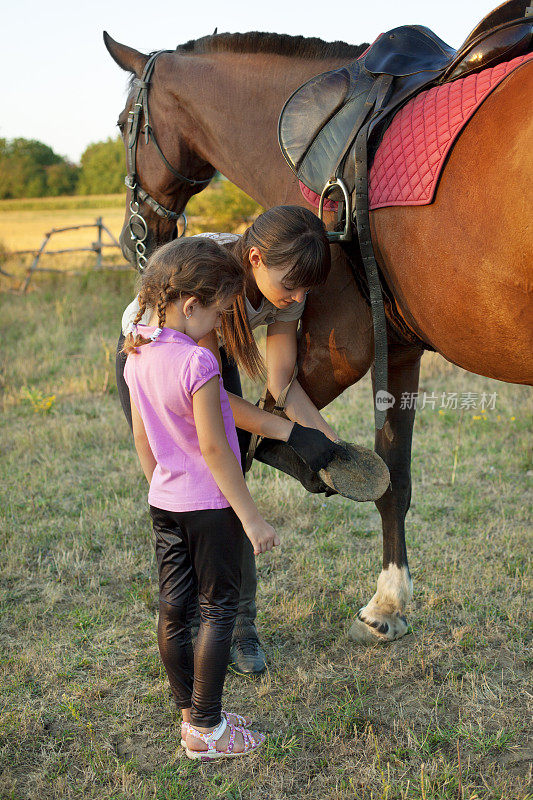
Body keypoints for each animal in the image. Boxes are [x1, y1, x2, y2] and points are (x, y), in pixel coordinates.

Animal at [104, 29, 532, 644]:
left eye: (122, 124)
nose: (130, 237)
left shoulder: (339, 347)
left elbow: (248, 449)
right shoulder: (398, 349)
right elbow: (393, 477)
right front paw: (389, 603)